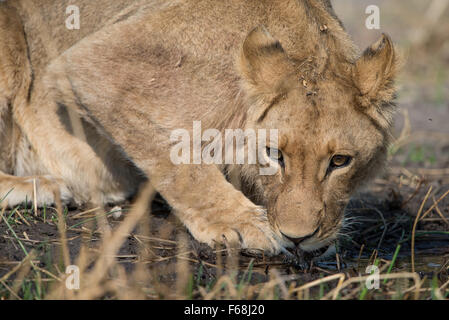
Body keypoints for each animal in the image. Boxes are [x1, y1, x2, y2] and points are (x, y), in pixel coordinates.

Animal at [0, 0, 400, 258]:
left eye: (340, 161)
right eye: (273, 154)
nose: (298, 239)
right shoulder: (90, 66)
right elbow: (177, 161)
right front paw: (240, 223)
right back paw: (43, 186)